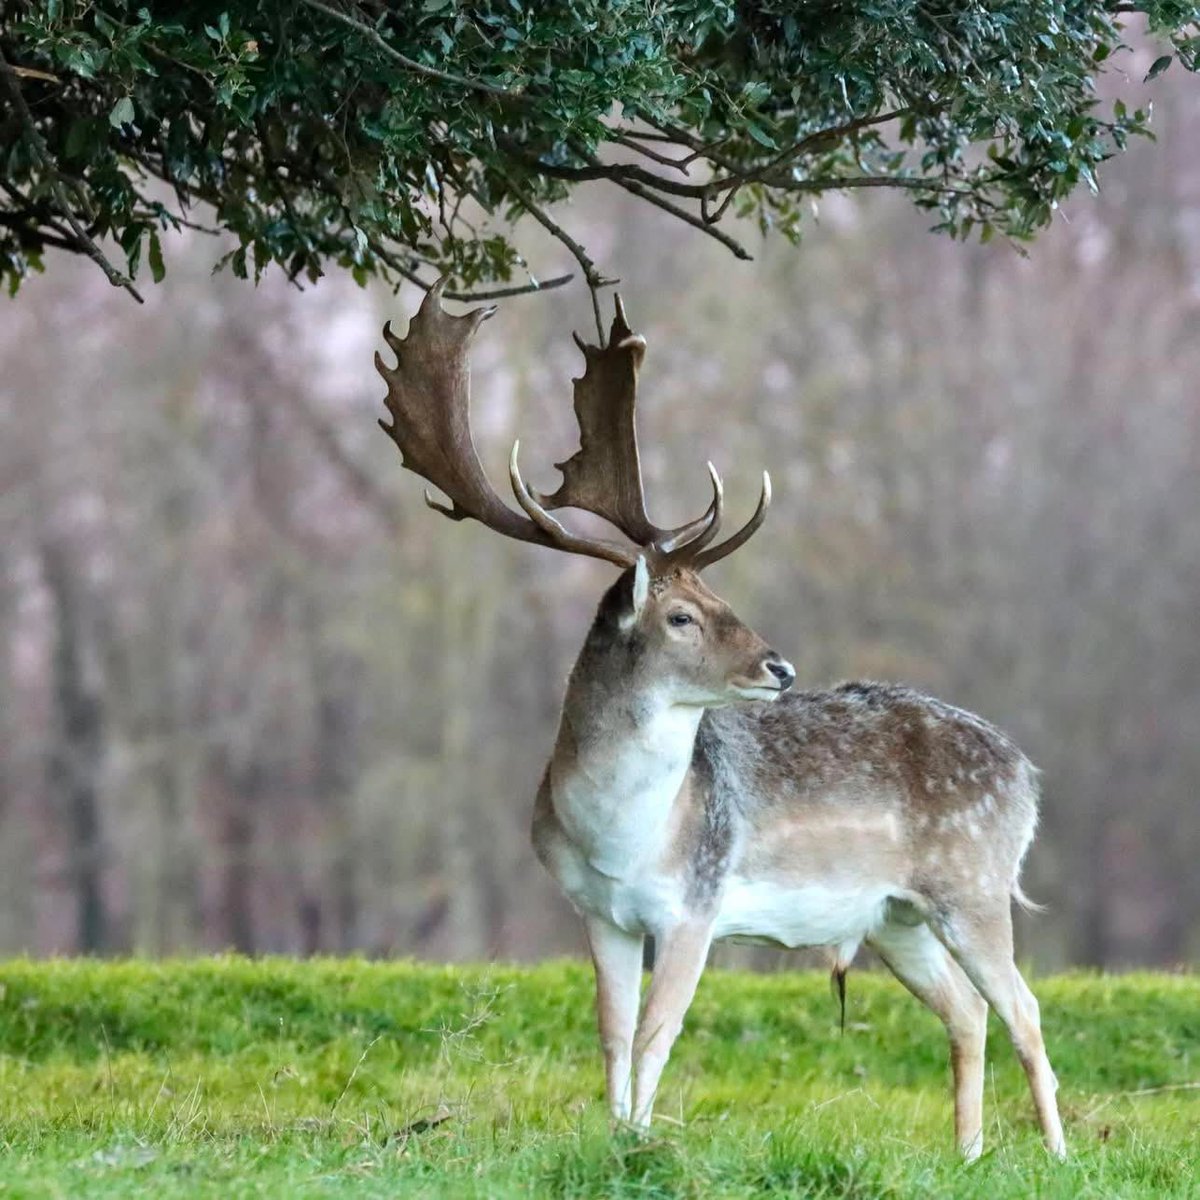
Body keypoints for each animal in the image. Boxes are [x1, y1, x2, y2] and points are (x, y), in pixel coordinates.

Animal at [375, 280, 1066, 1161]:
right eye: (681, 616)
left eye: (719, 597)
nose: (780, 667)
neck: (618, 841)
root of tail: (1026, 773)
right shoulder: (598, 913)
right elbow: (613, 1034)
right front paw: (615, 1136)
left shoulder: (695, 907)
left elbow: (656, 1035)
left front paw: (639, 1143)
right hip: (895, 915)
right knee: (970, 1010)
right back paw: (967, 1153)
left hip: (972, 882)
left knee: (1025, 1007)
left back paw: (1058, 1152)